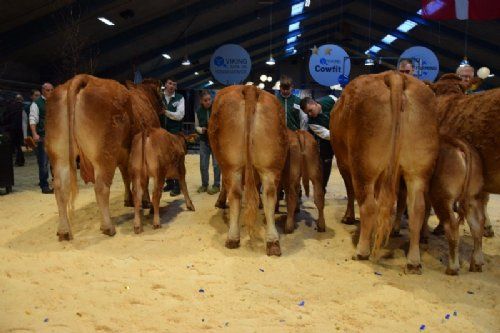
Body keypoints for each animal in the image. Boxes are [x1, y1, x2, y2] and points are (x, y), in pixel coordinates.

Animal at [45, 74, 162, 239]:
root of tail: (84, 78)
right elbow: (140, 180)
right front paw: (145, 201)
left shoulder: (124, 157)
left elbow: (126, 177)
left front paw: (129, 199)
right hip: (104, 155)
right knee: (101, 188)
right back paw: (108, 227)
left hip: (60, 156)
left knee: (60, 188)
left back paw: (64, 231)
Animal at [208, 84, 288, 255]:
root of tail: (249, 88)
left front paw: (220, 202)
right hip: (270, 165)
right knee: (270, 195)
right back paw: (273, 242)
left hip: (231, 165)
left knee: (235, 194)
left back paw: (232, 238)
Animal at [332, 70, 438, 272]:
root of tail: (394, 75)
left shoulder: (343, 164)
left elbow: (351, 192)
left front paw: (348, 217)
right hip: (418, 169)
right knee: (417, 209)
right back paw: (413, 261)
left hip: (363, 164)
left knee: (368, 206)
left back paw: (362, 251)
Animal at [432, 134, 486, 272]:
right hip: (472, 198)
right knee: (478, 224)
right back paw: (476, 264)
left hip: (443, 199)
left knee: (451, 226)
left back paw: (452, 268)